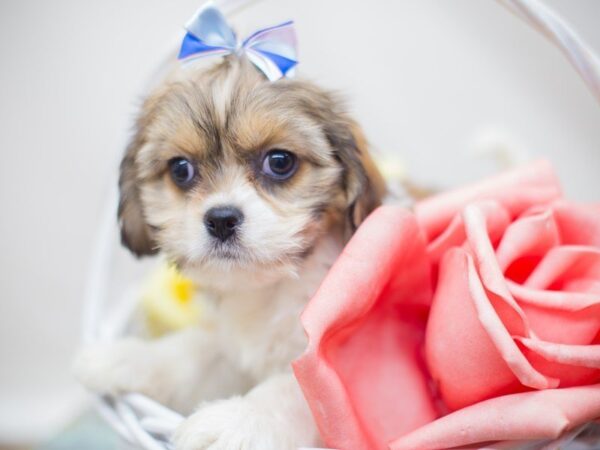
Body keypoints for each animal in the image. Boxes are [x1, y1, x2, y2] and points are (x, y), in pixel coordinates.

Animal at [74, 54, 384, 448]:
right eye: (180, 169)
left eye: (280, 161)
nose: (221, 219)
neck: (270, 289)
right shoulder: (227, 349)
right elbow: (194, 352)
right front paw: (130, 357)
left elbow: (297, 391)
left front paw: (236, 420)